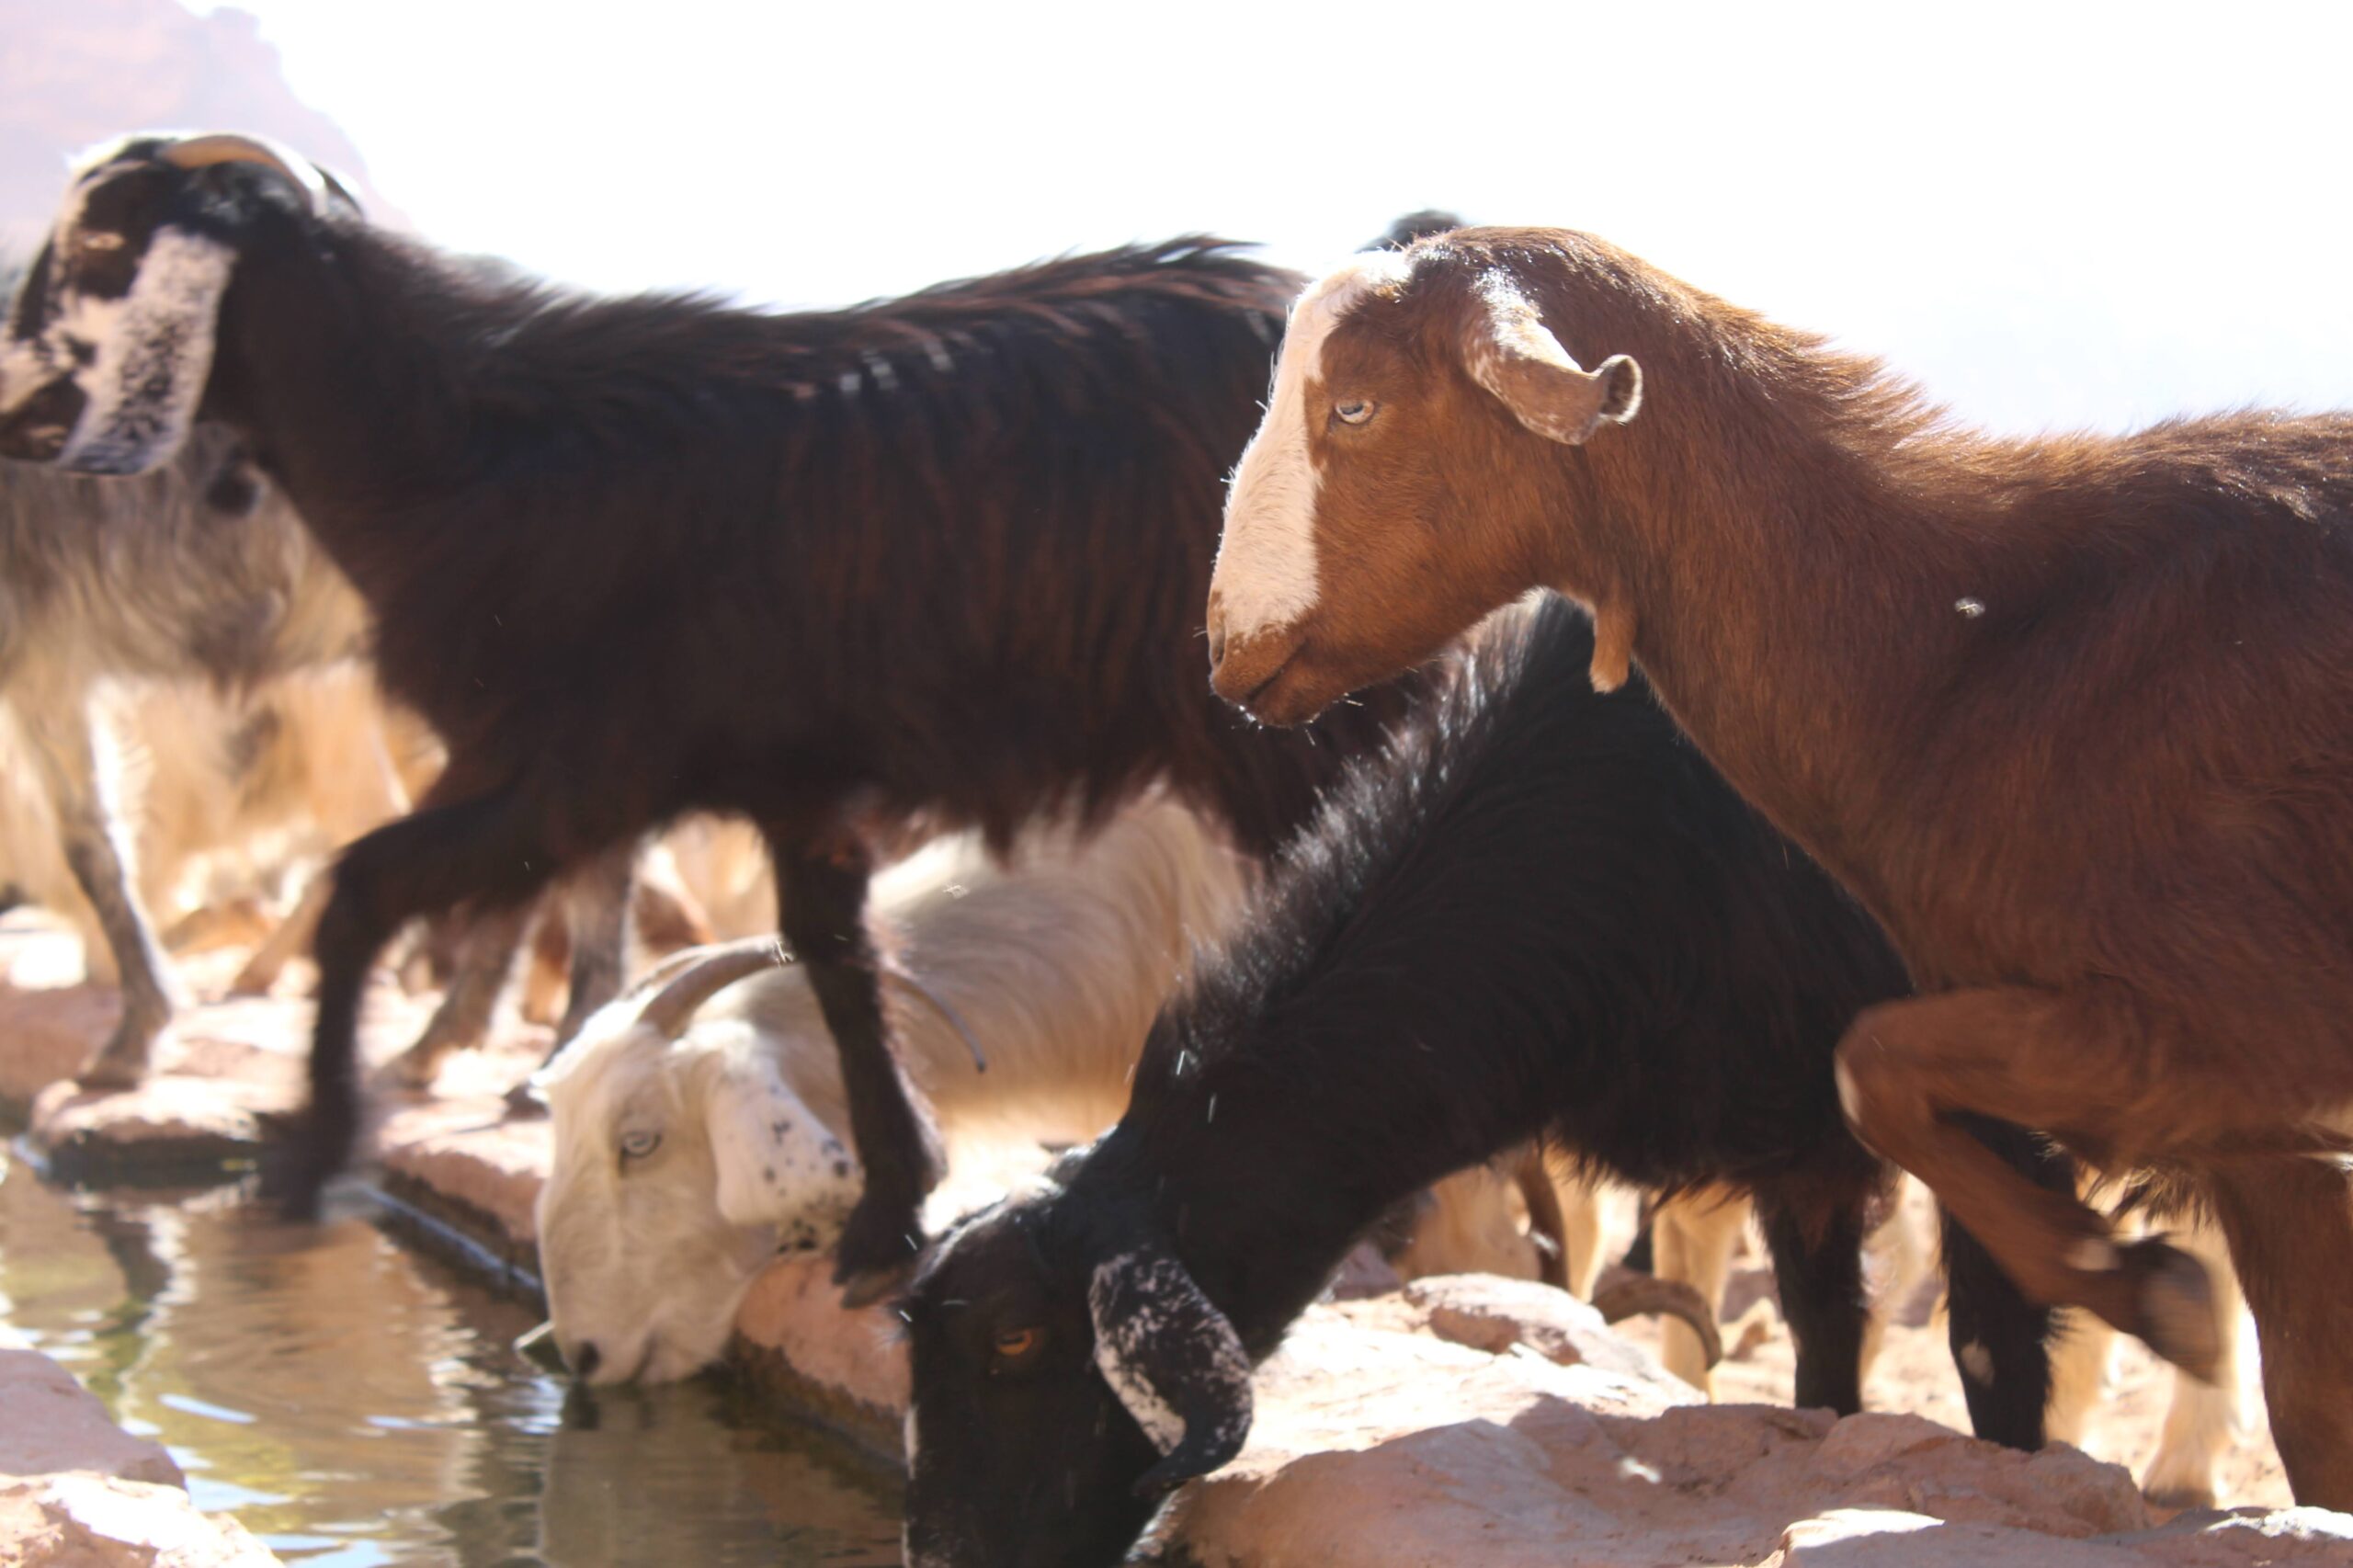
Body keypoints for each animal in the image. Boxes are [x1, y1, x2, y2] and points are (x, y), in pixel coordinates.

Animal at [0, 134, 1425, 1295]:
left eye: (103, 244)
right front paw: (890, 1209)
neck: (463, 446)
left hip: (1294, 722)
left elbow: (361, 884)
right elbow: (836, 955)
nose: (14, 420)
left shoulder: (572, 761)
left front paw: (311, 1156)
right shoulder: (784, 775)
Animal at [1203, 225, 2353, 1507]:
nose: (1224, 644)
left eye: (1353, 406)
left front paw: (2148, 1290)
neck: (1968, 647)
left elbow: (1899, 1121)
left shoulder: (2214, 1040)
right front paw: (2141, 1285)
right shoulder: (2241, 1118)